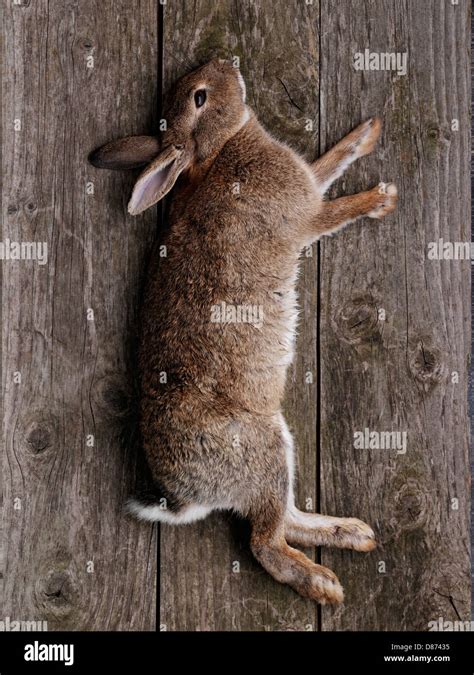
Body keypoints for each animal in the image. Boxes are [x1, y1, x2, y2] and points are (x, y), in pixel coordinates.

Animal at [89, 58, 397, 605]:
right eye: (200, 98)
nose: (225, 62)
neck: (215, 154)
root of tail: (184, 498)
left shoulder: (306, 183)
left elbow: (329, 162)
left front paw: (366, 134)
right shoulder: (305, 214)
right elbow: (335, 208)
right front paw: (380, 200)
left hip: (277, 452)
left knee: (284, 520)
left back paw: (353, 533)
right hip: (264, 445)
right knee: (266, 543)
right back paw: (324, 583)